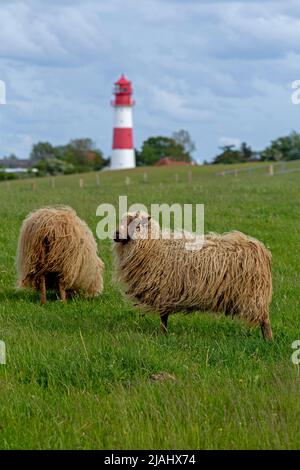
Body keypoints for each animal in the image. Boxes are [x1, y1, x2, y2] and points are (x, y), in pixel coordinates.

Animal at [112, 211, 272, 340]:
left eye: (137, 226)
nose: (116, 234)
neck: (154, 246)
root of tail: (260, 249)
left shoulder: (164, 290)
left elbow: (163, 317)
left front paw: (164, 335)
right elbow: (164, 316)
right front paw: (164, 334)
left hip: (253, 295)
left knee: (264, 319)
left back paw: (268, 341)